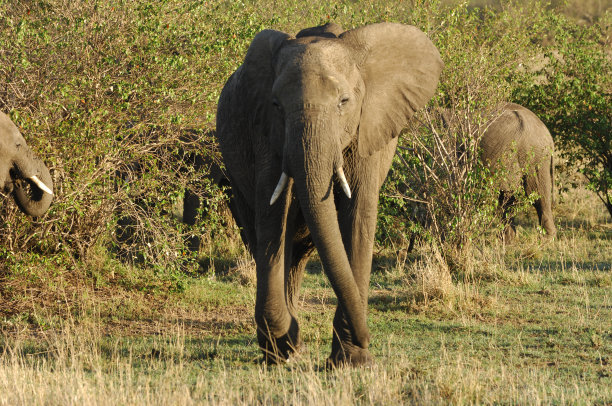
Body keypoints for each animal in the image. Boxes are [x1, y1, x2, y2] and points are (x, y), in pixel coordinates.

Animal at [214, 23, 440, 368]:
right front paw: (284, 349)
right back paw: (289, 348)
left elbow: (358, 215)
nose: (367, 337)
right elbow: (272, 214)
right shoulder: (264, 131)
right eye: (276, 105)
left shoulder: (367, 128)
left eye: (344, 101)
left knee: (298, 253)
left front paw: (353, 360)